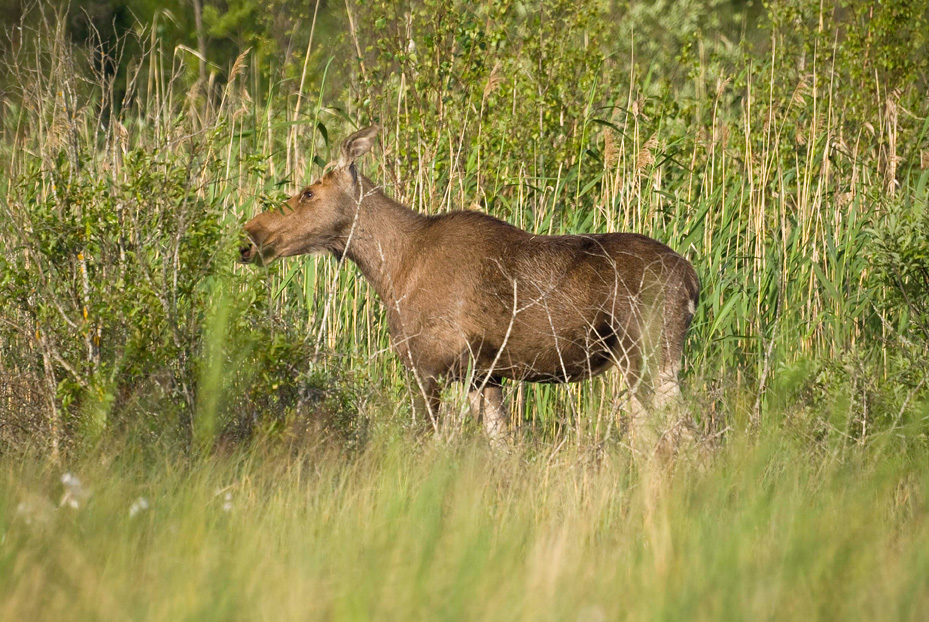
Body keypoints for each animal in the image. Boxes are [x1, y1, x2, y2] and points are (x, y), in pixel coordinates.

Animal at [243, 127, 700, 448]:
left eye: (307, 192)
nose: (248, 235)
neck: (390, 270)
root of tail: (695, 281)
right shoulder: (484, 375)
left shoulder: (428, 365)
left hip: (650, 354)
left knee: (687, 436)